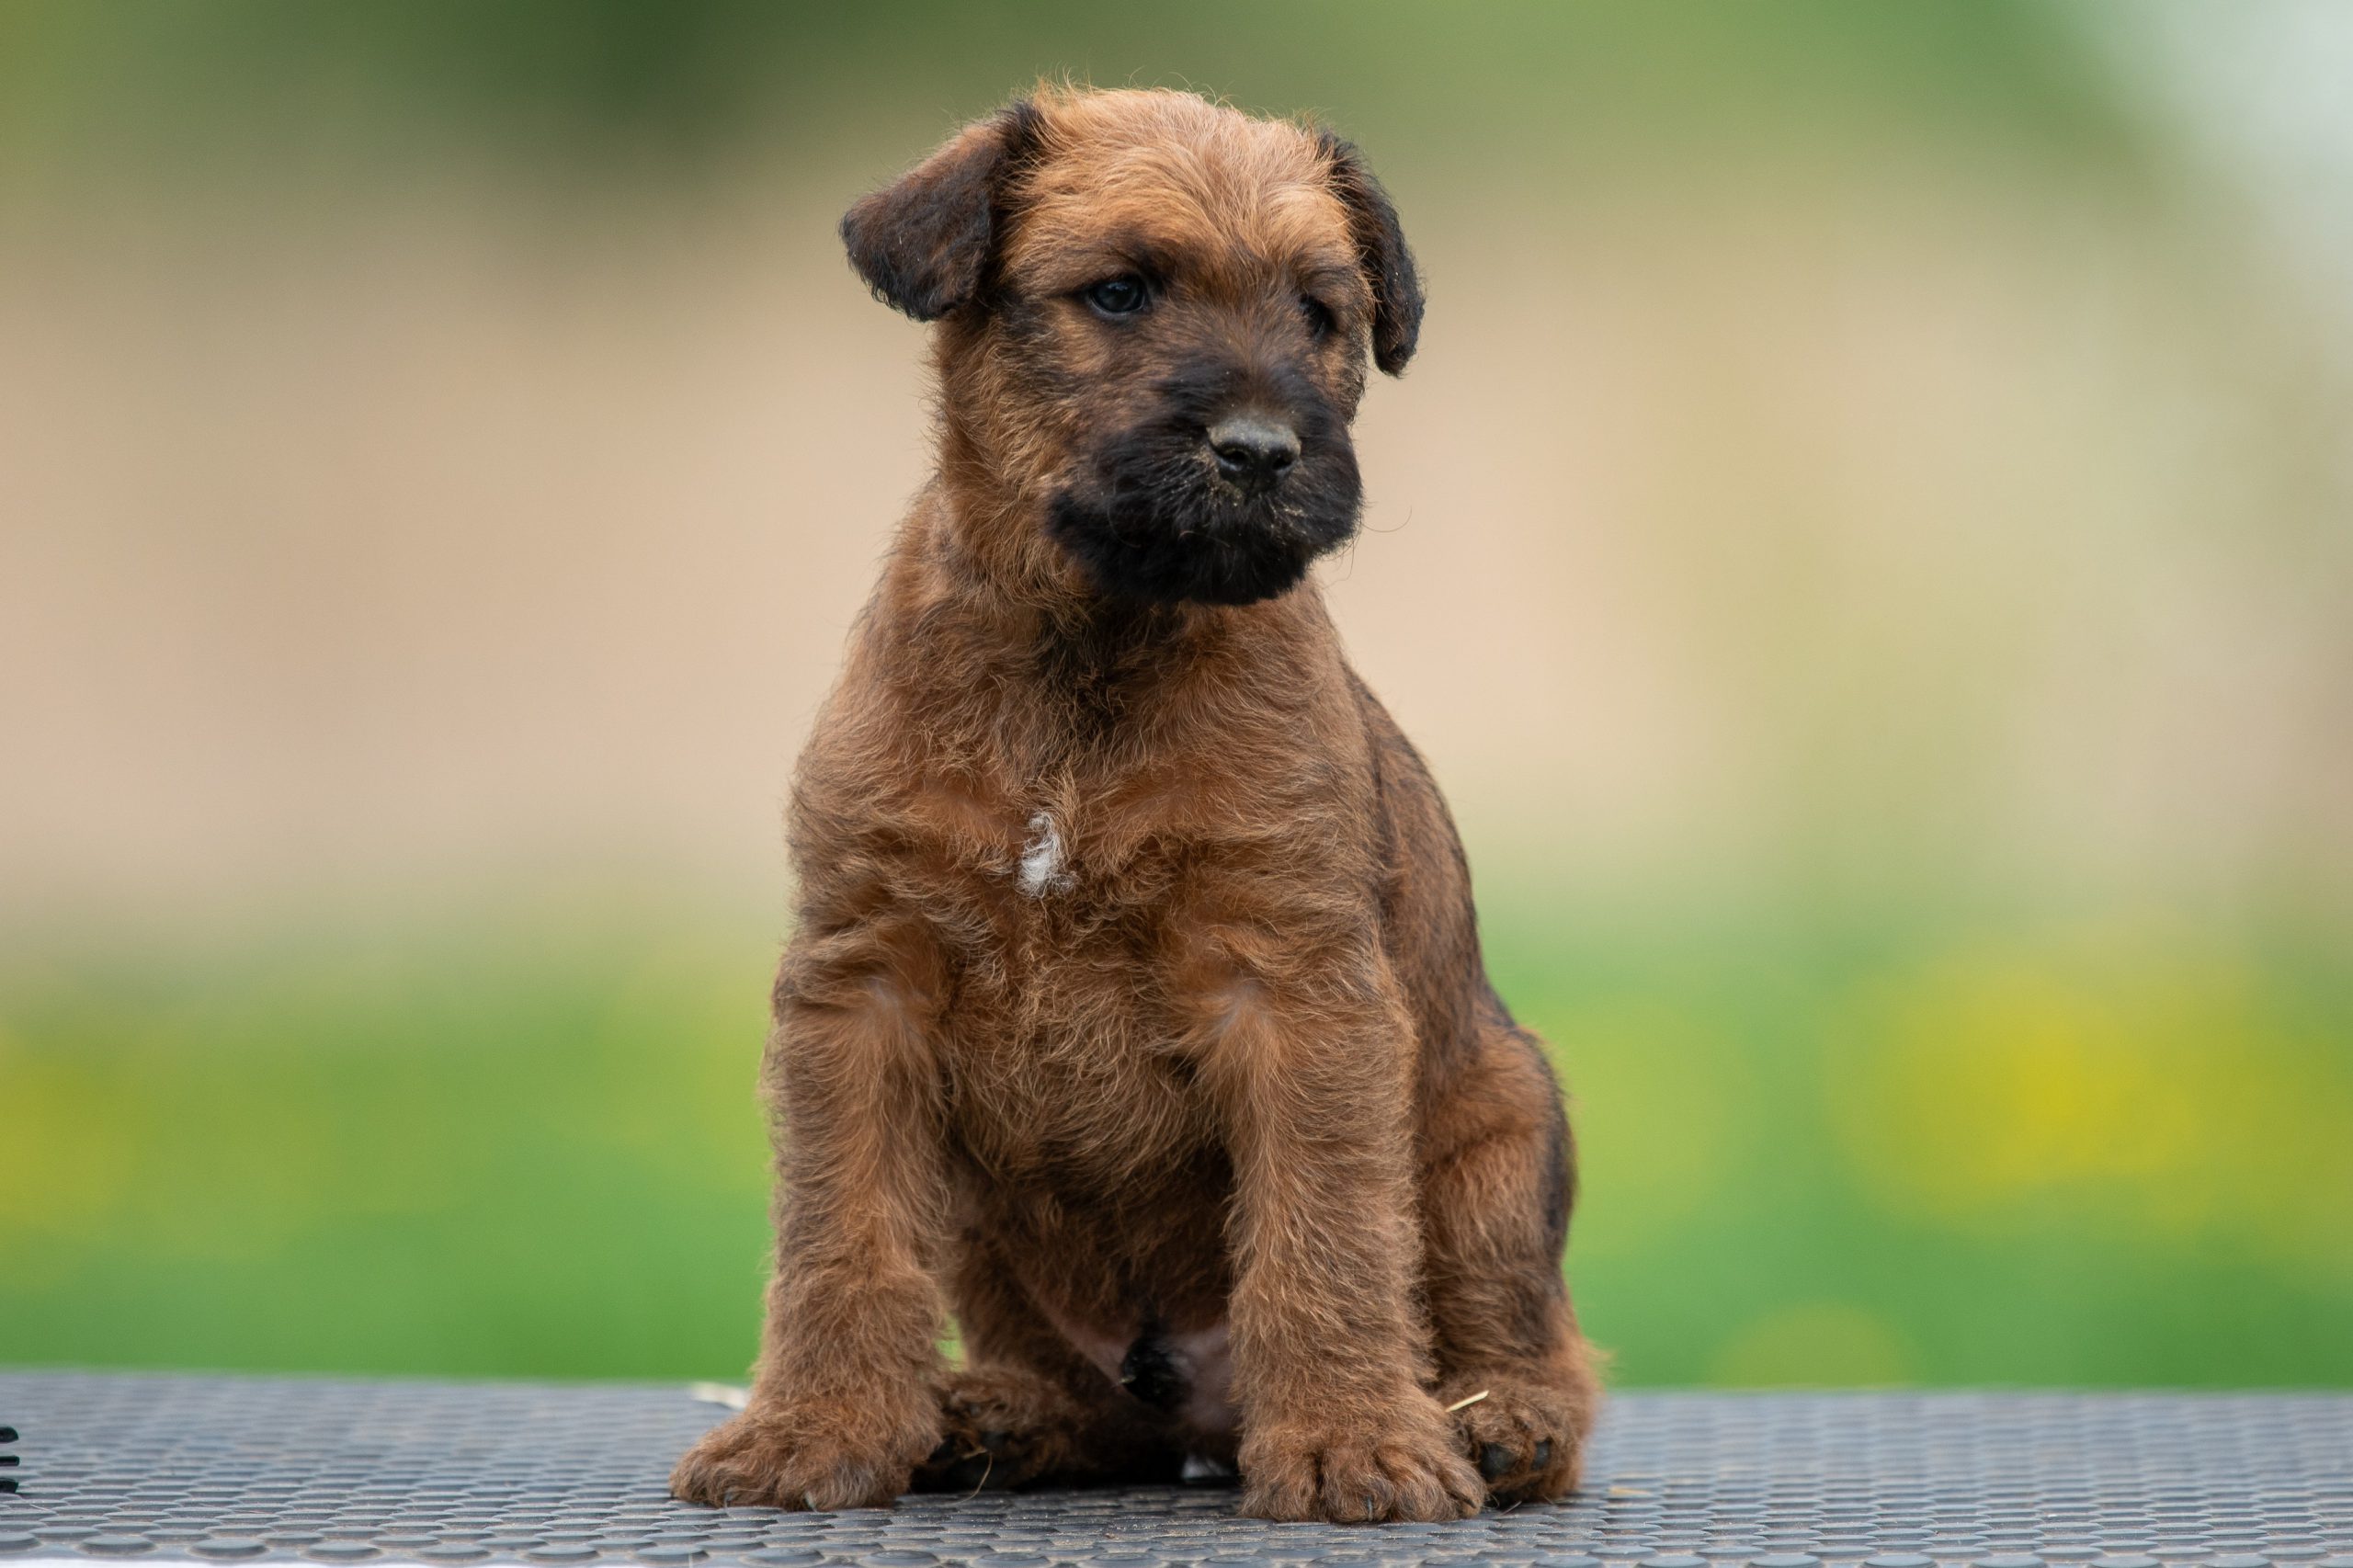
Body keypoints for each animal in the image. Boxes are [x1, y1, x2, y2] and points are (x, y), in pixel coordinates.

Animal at [669, 84, 1600, 1525]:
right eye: (1117, 291)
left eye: (1320, 311)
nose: (1260, 452)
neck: (1086, 656)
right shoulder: (862, 987)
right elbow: (841, 1239)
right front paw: (810, 1429)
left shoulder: (1296, 991)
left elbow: (1326, 1240)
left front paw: (1351, 1441)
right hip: (990, 1228)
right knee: (1085, 1396)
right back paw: (996, 1414)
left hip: (1498, 1133)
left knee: (1534, 1338)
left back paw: (1499, 1425)